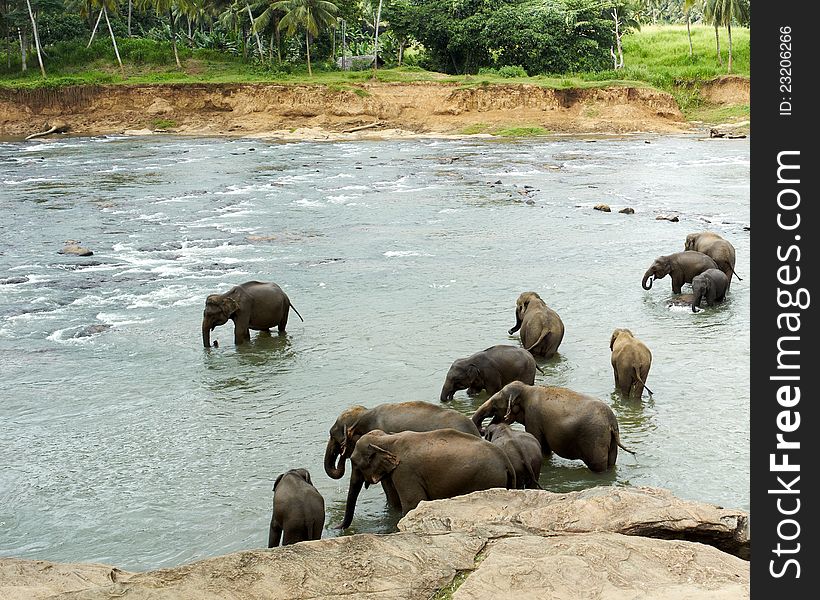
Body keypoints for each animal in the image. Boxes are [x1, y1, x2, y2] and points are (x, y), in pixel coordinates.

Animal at [338, 426, 516, 528]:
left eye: (354, 462)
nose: (336, 527)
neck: (386, 438)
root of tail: (506, 461)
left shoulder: (406, 472)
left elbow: (412, 503)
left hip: (488, 478)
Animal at [468, 380, 636, 474]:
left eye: (495, 405)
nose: (483, 429)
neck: (527, 390)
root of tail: (611, 422)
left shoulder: (533, 418)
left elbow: (543, 447)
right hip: (610, 440)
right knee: (611, 462)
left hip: (595, 439)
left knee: (598, 466)